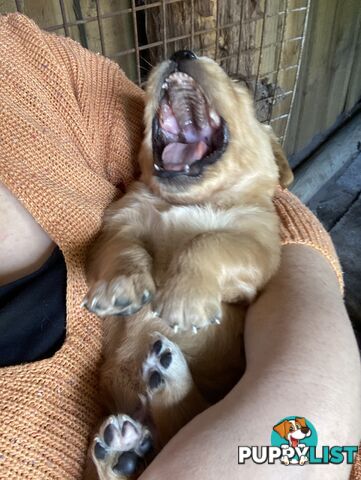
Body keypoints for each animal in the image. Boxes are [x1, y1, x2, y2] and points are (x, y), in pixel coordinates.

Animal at [83, 49, 292, 480]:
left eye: (239, 83)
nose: (181, 52)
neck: (186, 200)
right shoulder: (118, 224)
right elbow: (125, 250)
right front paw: (121, 288)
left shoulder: (260, 245)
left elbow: (208, 241)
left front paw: (183, 299)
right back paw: (119, 453)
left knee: (186, 413)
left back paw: (165, 374)